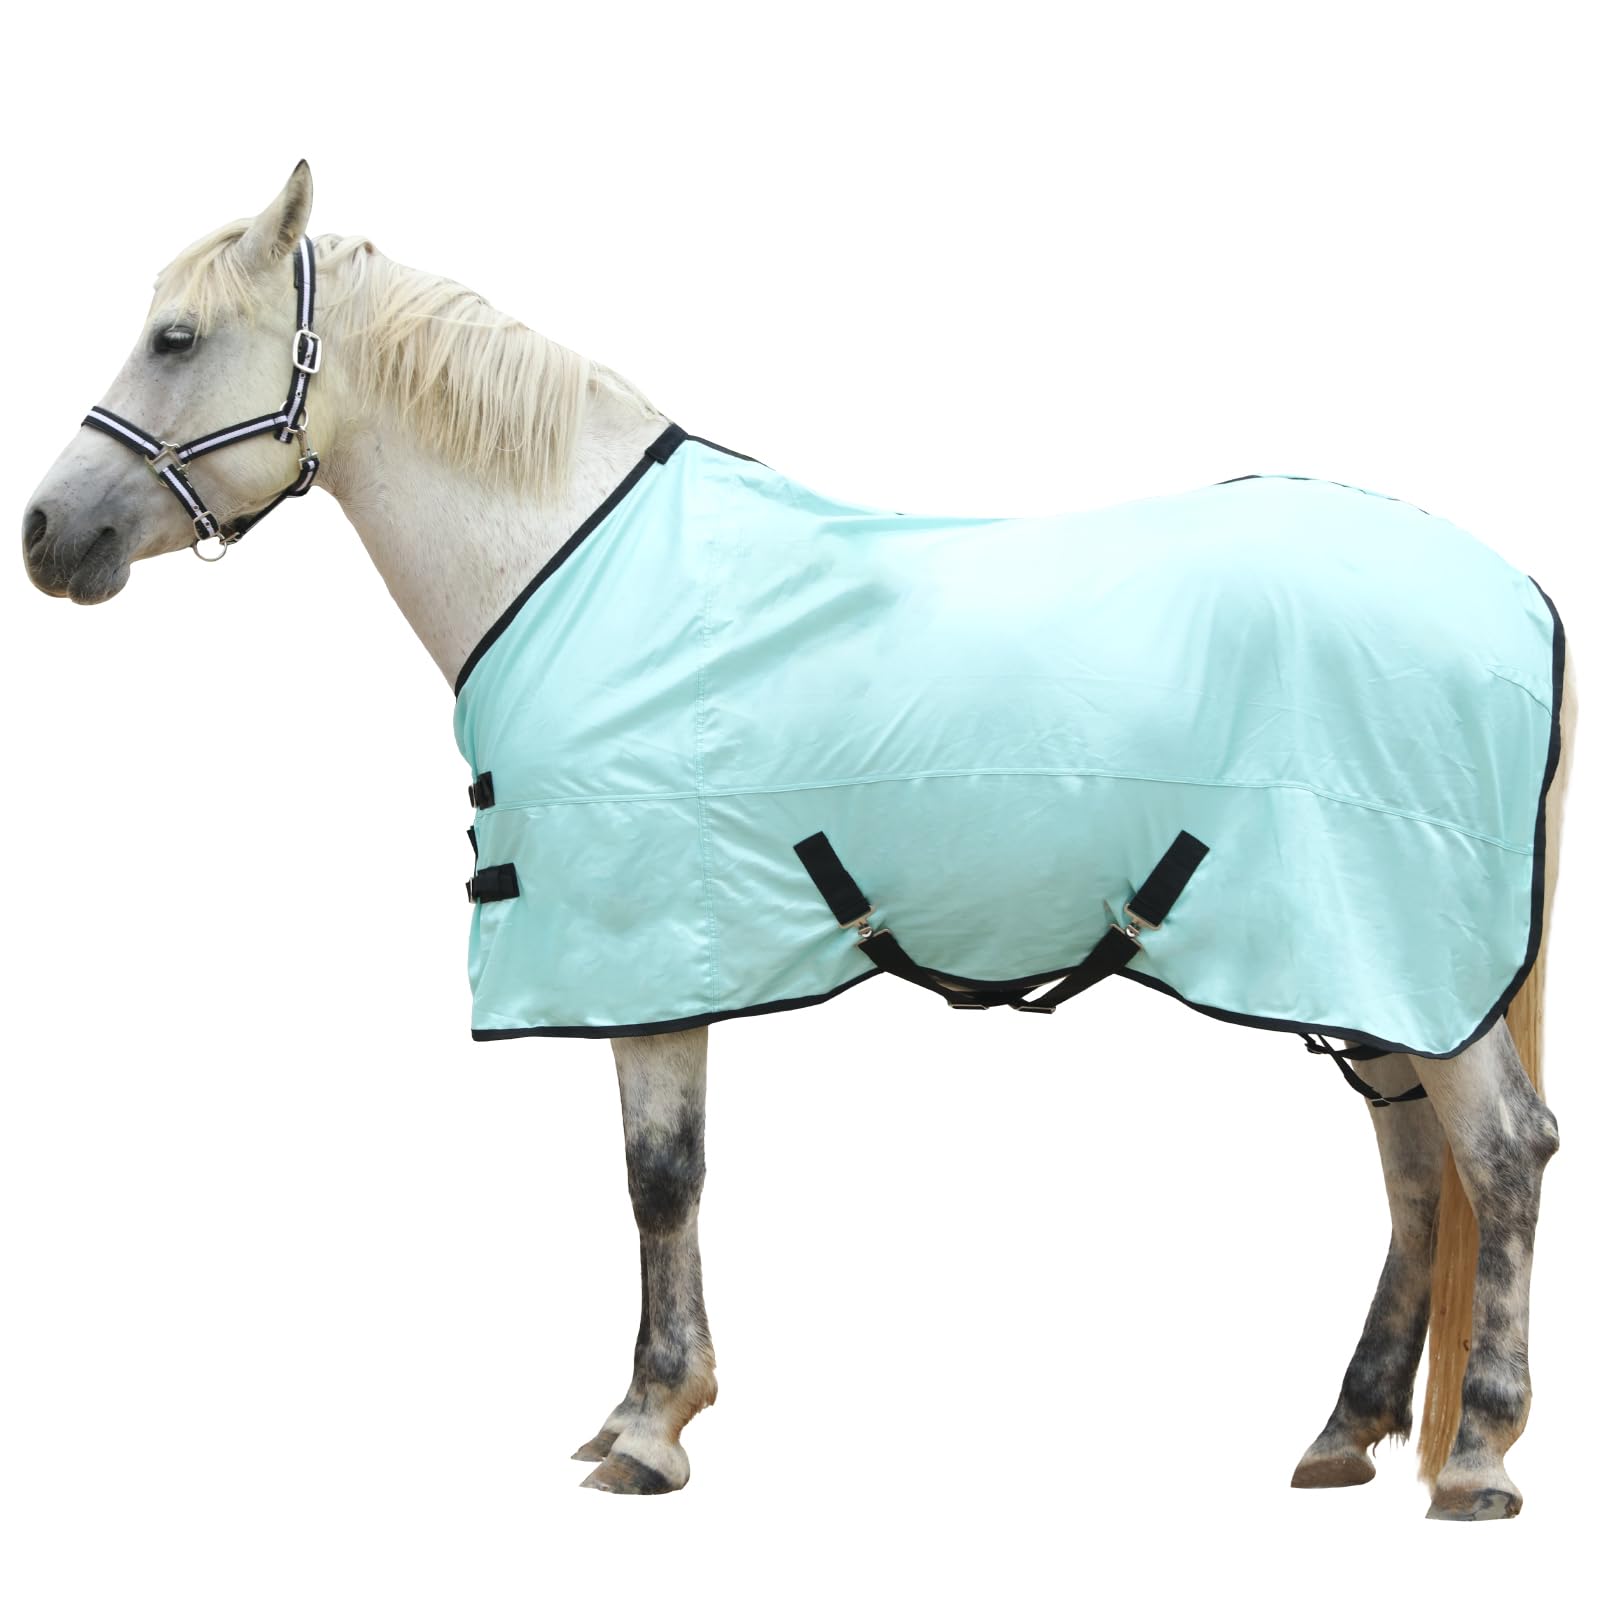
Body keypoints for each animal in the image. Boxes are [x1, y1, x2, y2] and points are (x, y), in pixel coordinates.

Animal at [21, 163, 1572, 1516]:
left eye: (174, 338)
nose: (46, 533)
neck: (573, 561)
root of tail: (1519, 594)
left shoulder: (645, 946)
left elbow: (661, 1178)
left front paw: (651, 1429)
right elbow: (663, 1174)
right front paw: (647, 1406)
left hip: (1400, 956)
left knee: (1502, 1154)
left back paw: (1477, 1456)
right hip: (1362, 968)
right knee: (1415, 1165)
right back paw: (1348, 1430)